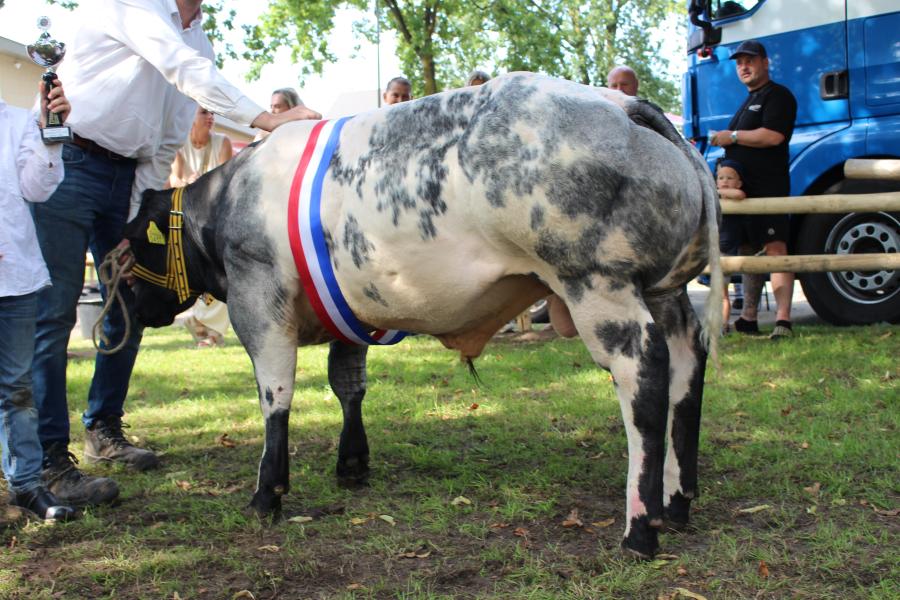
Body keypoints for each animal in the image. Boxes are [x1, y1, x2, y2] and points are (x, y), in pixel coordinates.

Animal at [123, 74, 724, 556]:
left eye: (129, 248)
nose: (128, 306)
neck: (231, 198)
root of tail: (619, 102)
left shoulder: (259, 298)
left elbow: (276, 394)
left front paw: (267, 492)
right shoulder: (347, 308)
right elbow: (348, 384)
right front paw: (352, 465)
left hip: (597, 282)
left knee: (642, 373)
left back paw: (640, 529)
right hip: (664, 290)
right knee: (687, 362)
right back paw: (677, 501)